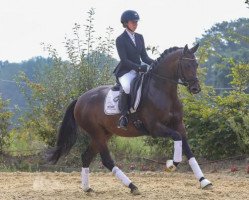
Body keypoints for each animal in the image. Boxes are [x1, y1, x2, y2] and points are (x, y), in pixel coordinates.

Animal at [46, 43, 212, 195]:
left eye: (196, 64)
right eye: (187, 64)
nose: (196, 88)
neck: (162, 91)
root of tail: (80, 99)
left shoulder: (179, 125)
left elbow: (188, 151)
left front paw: (204, 182)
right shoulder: (155, 128)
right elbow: (177, 139)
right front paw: (171, 164)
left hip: (104, 133)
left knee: (86, 156)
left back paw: (87, 188)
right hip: (97, 133)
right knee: (106, 160)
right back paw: (132, 186)